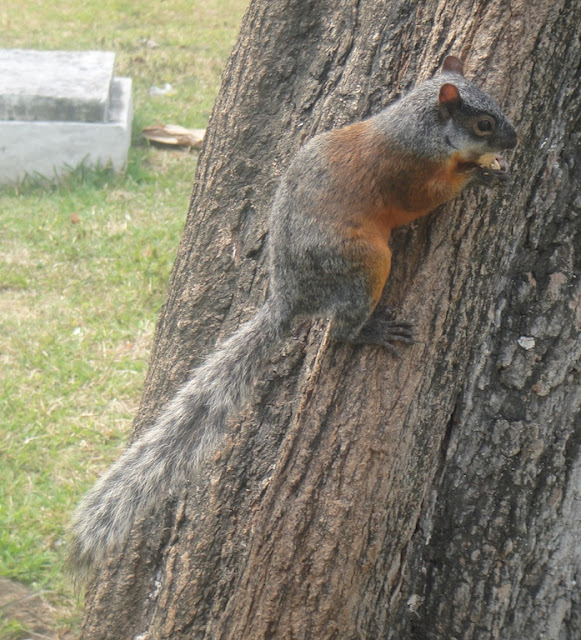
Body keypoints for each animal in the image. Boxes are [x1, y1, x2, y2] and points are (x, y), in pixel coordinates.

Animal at [68, 53, 516, 576]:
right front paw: (480, 172)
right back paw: (369, 331)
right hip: (364, 262)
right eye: (484, 124)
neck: (416, 127)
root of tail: (290, 297)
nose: (514, 139)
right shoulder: (409, 172)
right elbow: (427, 197)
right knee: (340, 330)